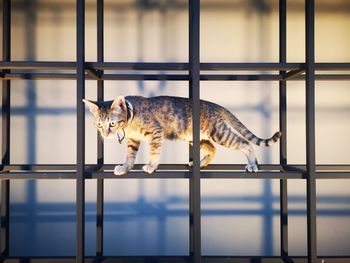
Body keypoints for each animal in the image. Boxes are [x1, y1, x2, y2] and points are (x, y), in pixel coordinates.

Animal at [82, 96, 282, 176]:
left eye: (112, 124)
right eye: (99, 124)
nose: (105, 134)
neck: (131, 116)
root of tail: (214, 105)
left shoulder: (155, 132)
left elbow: (154, 152)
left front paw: (151, 166)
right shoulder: (133, 140)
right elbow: (130, 156)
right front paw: (125, 168)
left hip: (220, 133)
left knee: (246, 143)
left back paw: (252, 165)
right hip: (197, 137)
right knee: (212, 149)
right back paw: (200, 164)